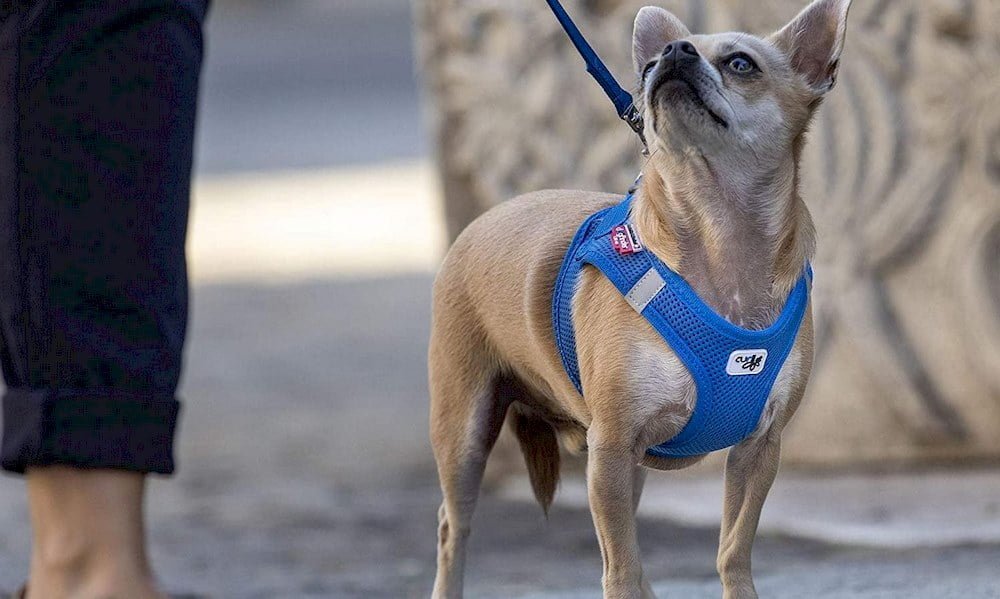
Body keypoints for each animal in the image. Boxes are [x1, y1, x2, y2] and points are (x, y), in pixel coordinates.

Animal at [430, 2, 852, 596]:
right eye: (650, 64)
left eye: (741, 64)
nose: (672, 53)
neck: (720, 235)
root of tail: (479, 222)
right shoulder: (611, 445)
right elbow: (623, 566)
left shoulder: (758, 450)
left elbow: (733, 550)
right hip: (465, 431)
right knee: (454, 527)